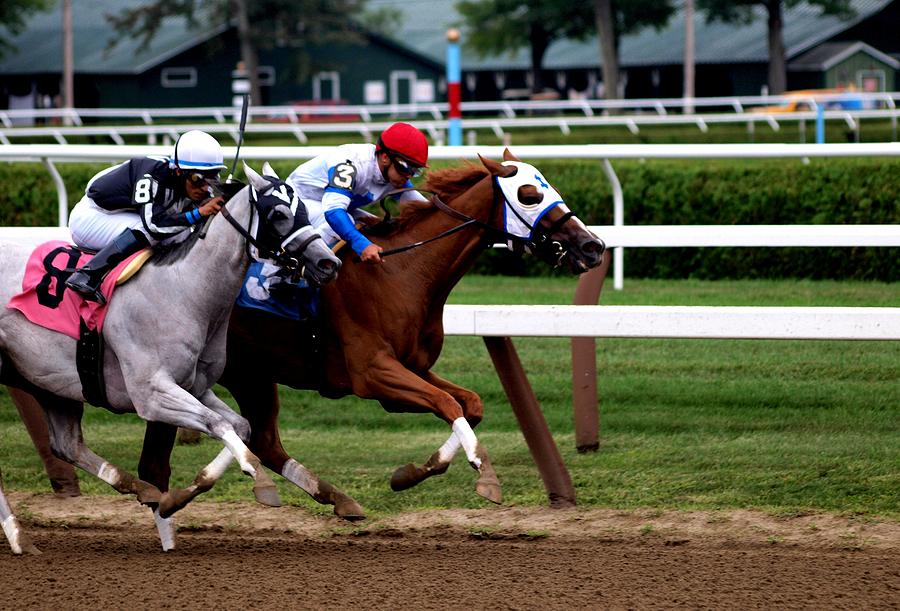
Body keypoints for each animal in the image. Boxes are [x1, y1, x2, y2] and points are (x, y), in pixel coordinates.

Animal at [0, 163, 342, 556]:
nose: (329, 262)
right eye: (280, 214)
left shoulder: (194, 386)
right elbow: (218, 424)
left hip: (50, 381)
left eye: (305, 210)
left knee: (67, 444)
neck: (182, 288)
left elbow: (240, 426)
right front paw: (260, 481)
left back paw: (139, 490)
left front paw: (174, 499)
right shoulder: (151, 393)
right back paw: (19, 536)